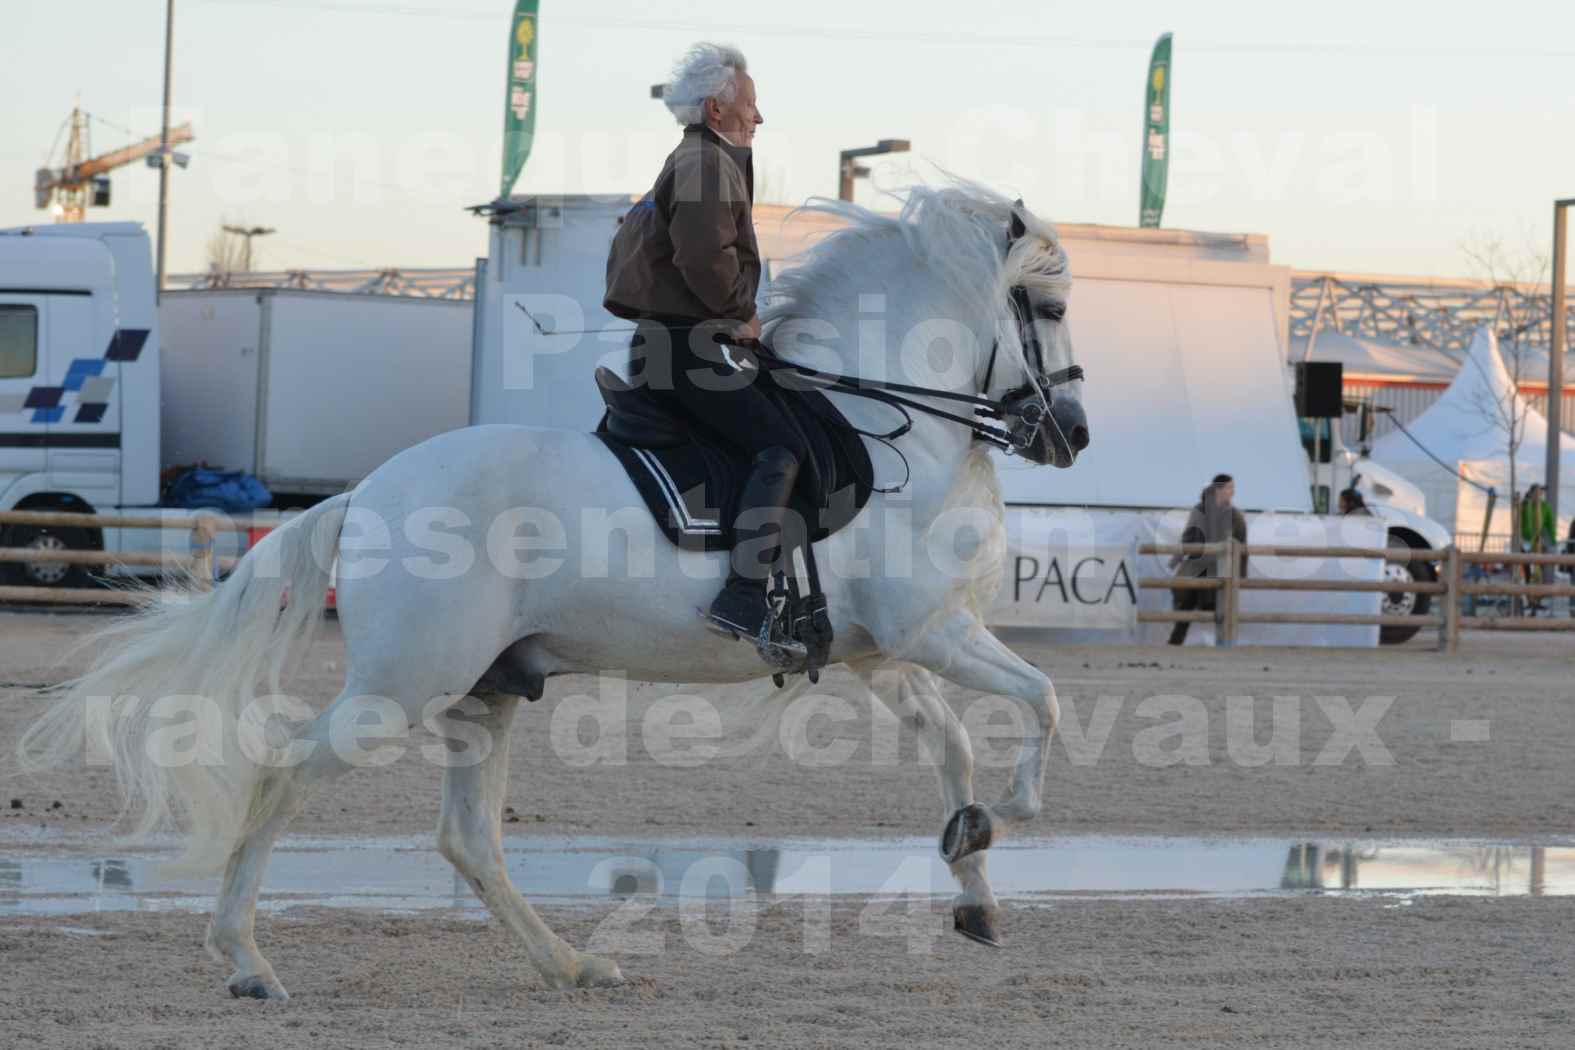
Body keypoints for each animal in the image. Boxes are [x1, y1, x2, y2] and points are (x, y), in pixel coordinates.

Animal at [18, 182, 1089, 1001]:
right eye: (1048, 309)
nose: (1070, 435)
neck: (893, 425)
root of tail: (368, 492)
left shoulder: (883, 654)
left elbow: (954, 747)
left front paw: (973, 882)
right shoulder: (932, 631)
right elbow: (1043, 699)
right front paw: (1013, 812)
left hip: (483, 690)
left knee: (467, 839)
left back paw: (571, 965)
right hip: (403, 686)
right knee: (285, 778)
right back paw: (247, 964)